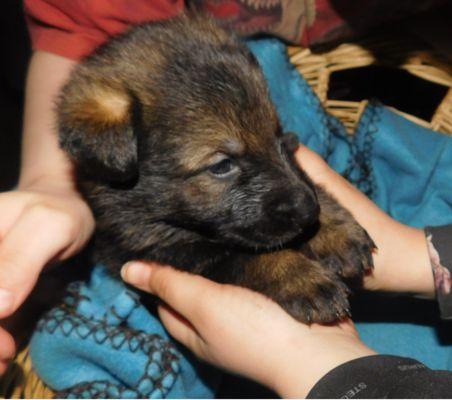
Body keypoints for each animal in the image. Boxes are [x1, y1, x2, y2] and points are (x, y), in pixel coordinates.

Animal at [57, 14, 374, 324]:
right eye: (222, 165)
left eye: (278, 136)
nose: (309, 212)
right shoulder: (165, 249)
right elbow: (242, 256)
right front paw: (299, 278)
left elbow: (309, 181)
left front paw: (336, 230)